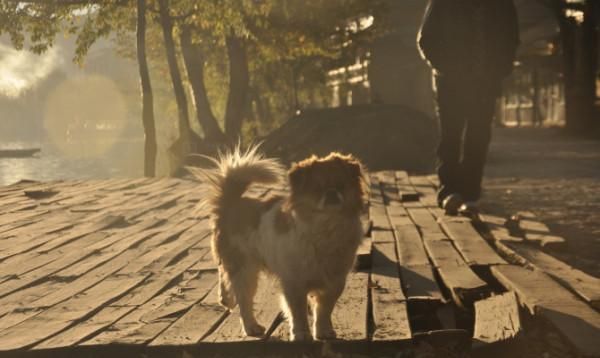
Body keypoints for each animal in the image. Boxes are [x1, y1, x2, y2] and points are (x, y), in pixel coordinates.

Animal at [195, 145, 368, 342]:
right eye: (317, 188)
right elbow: (298, 312)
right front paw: (301, 334)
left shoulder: (334, 282)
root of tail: (232, 203)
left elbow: (324, 310)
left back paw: (226, 299)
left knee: (224, 275)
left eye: (342, 185)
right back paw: (251, 327)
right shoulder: (294, 283)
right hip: (245, 270)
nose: (332, 192)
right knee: (244, 301)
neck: (326, 227)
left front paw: (323, 331)